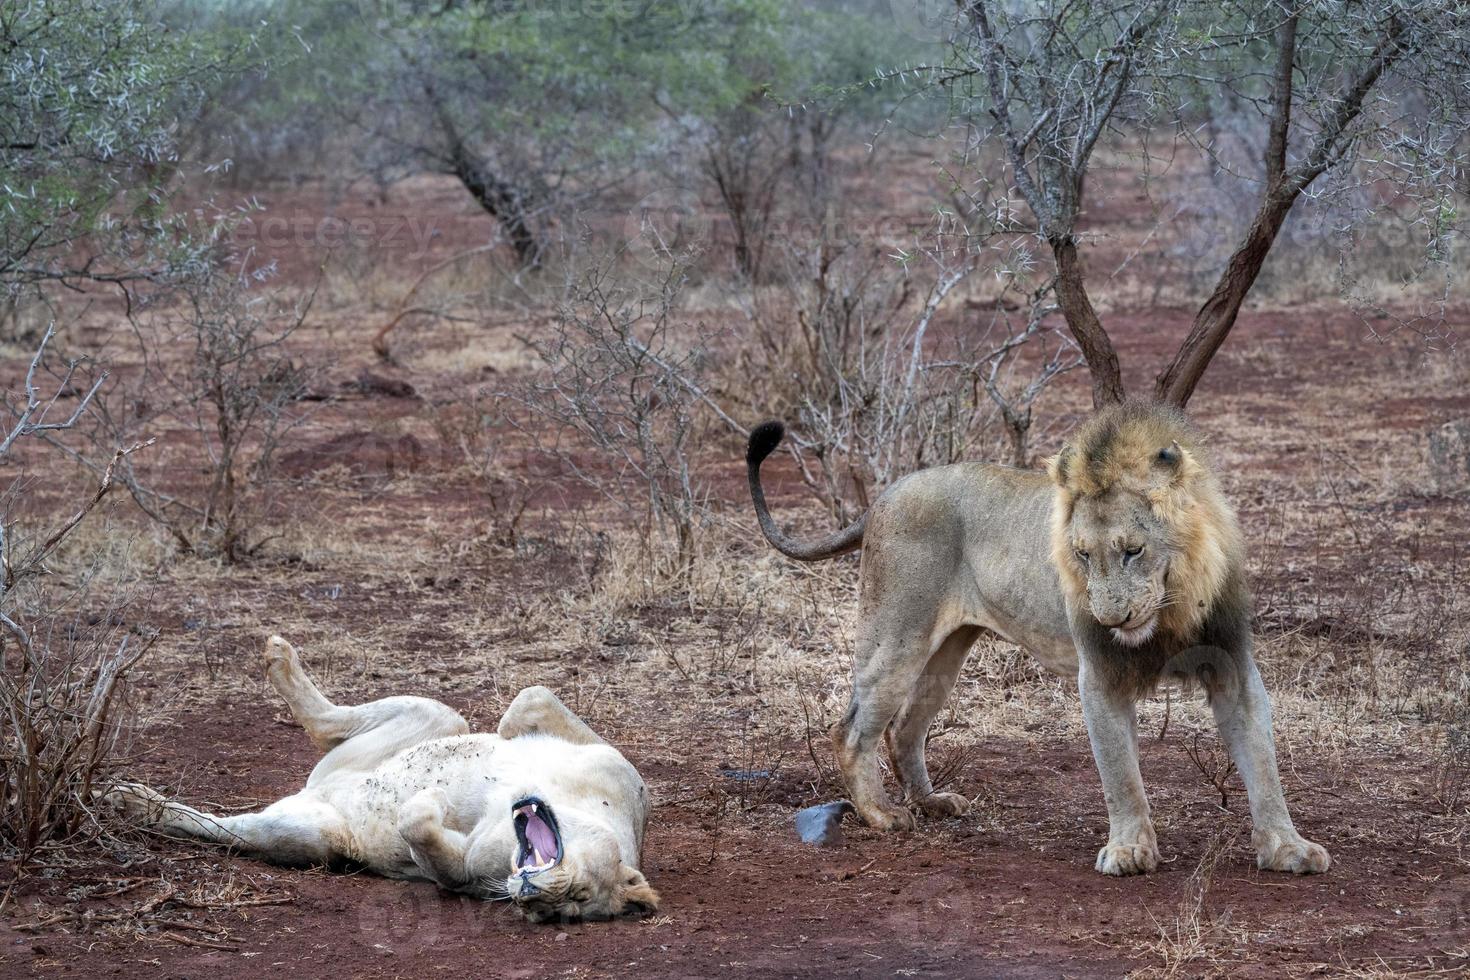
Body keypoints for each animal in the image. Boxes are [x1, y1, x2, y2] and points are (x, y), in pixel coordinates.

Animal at [111, 637, 664, 922]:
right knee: (331, 722)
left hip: (310, 835)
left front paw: (428, 806)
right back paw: (279, 657)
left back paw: (130, 801)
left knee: (225, 826)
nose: (528, 896)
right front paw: (505, 736)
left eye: (566, 908)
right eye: (577, 893)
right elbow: (532, 697)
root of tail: (317, 788)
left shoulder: (469, 875)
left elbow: (425, 837)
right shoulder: (615, 766)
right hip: (435, 715)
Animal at [746, 402, 1334, 875]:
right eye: (1081, 554)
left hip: (948, 650)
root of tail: (885, 494)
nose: (1110, 619)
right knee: (851, 730)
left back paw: (931, 803)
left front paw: (1288, 848)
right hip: (897, 635)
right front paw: (1128, 851)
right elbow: (1120, 774)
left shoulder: (1233, 666)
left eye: (1133, 550)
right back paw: (881, 814)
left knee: (905, 727)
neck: (1172, 606)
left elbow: (1262, 761)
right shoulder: (1100, 675)